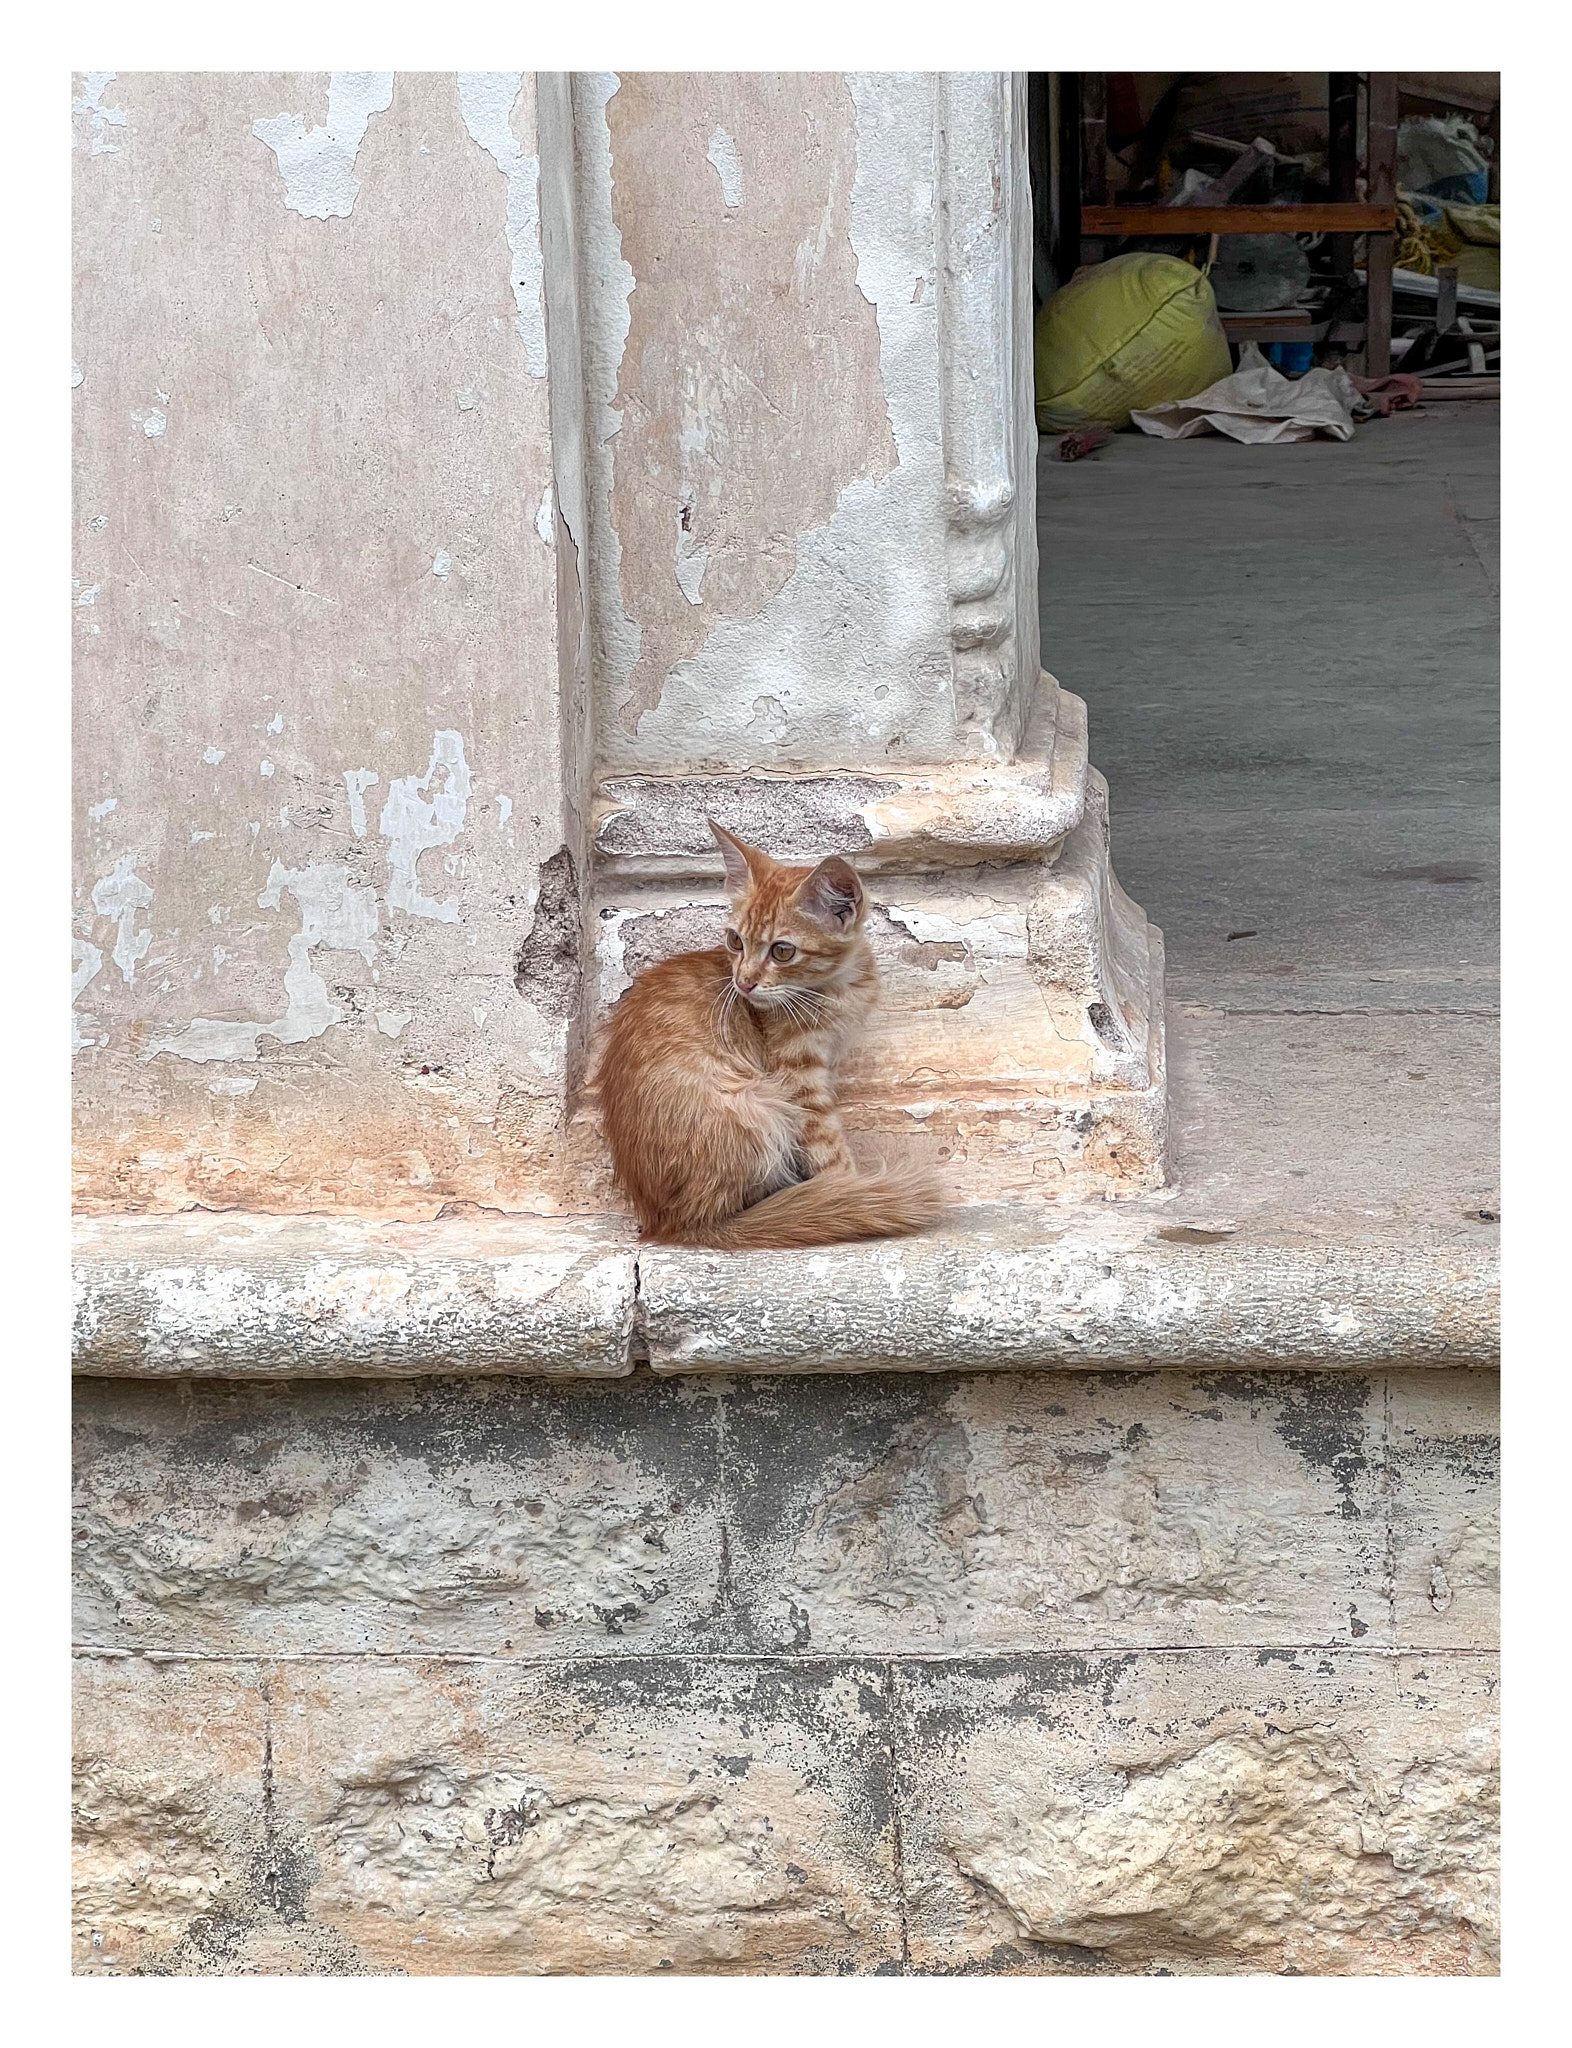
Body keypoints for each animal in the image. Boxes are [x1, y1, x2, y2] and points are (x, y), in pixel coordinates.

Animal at [597, 819, 945, 1245]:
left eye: (782, 951)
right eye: (735, 941)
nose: (743, 983)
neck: (839, 989)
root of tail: (673, 1225)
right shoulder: (799, 1080)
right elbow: (827, 1146)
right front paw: (848, 1190)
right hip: (758, 1103)